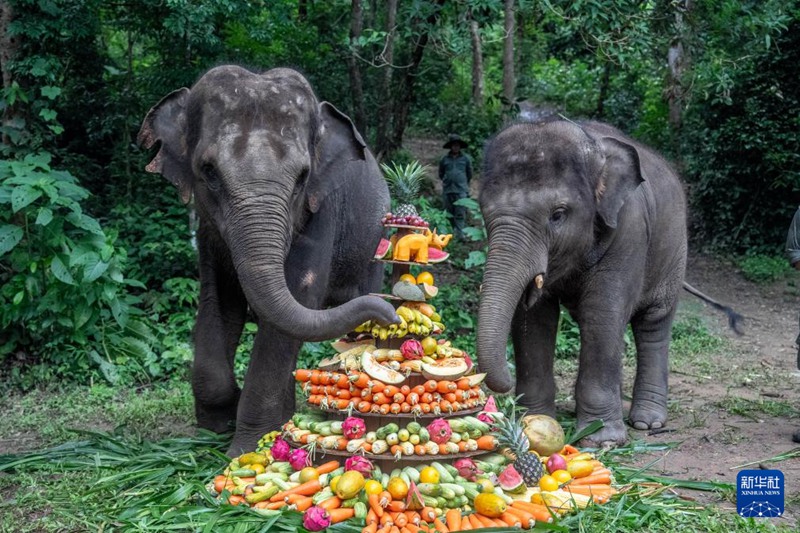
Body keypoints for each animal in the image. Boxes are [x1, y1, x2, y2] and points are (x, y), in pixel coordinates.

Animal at [141, 65, 400, 454]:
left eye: (303, 176)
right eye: (209, 170)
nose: (391, 313)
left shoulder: (323, 208)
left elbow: (296, 301)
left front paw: (247, 447)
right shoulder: (208, 231)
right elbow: (220, 302)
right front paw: (215, 429)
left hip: (373, 244)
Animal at [476, 117, 688, 444]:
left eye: (557, 215)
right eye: (483, 210)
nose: (504, 391)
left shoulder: (629, 231)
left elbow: (602, 315)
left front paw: (603, 440)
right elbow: (535, 319)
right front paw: (533, 420)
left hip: (674, 252)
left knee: (653, 323)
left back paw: (646, 423)